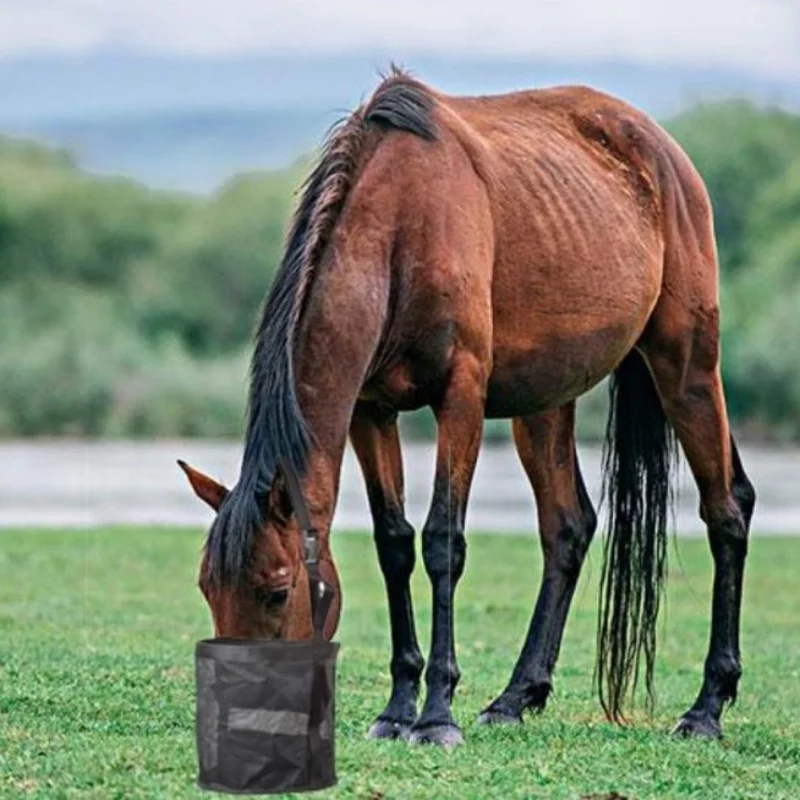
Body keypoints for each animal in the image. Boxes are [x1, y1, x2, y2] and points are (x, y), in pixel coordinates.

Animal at [179, 67, 756, 746]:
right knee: (568, 527)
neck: (401, 229)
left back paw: (707, 707)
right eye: (208, 589)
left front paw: (435, 714)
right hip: (545, 402)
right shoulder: (370, 411)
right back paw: (514, 697)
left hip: (687, 368)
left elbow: (442, 544)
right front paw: (397, 708)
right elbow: (395, 545)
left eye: (277, 591)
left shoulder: (461, 399)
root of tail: (664, 152)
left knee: (726, 512)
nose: (246, 720)